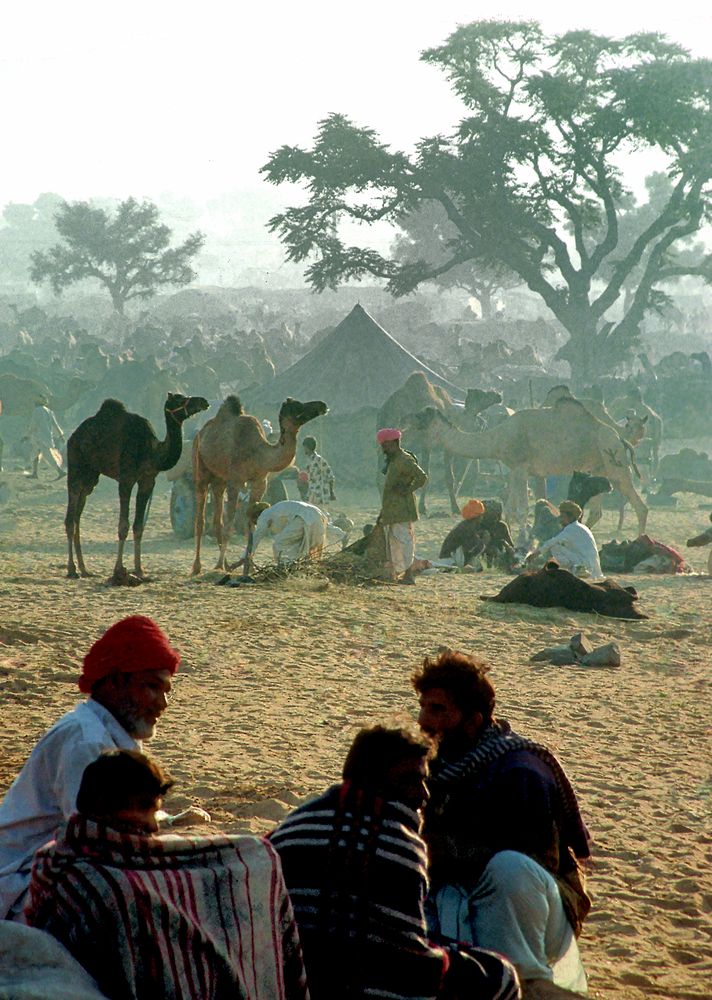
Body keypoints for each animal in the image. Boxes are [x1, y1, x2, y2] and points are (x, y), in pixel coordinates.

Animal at [64, 388, 210, 580]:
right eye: (180, 399)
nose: (203, 401)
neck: (152, 452)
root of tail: (73, 436)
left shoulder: (147, 481)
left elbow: (139, 526)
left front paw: (140, 570)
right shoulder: (126, 479)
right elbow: (123, 526)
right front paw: (119, 570)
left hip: (91, 475)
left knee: (78, 515)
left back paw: (84, 569)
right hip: (75, 464)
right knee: (70, 516)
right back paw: (72, 569)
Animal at [193, 394, 330, 576]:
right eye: (297, 406)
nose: (322, 405)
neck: (258, 453)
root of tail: (202, 431)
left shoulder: (260, 482)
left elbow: (251, 524)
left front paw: (248, 567)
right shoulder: (235, 481)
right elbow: (230, 524)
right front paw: (220, 565)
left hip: (219, 479)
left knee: (217, 518)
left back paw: (226, 564)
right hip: (200, 467)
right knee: (201, 518)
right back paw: (197, 567)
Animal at [408, 398, 648, 540]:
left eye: (421, 415)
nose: (406, 418)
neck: (499, 437)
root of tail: (620, 438)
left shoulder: (522, 468)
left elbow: (522, 510)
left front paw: (522, 539)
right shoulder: (514, 470)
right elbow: (510, 510)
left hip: (614, 461)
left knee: (640, 505)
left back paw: (639, 542)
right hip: (598, 468)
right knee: (598, 510)